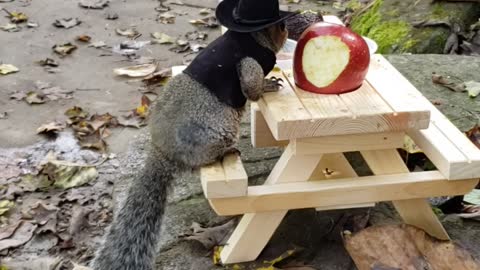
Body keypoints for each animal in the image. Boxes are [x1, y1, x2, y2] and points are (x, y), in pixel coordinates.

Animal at [89, 0, 292, 268]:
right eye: (281, 26)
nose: (288, 30)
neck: (250, 37)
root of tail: (163, 153)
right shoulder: (250, 61)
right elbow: (251, 89)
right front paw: (268, 86)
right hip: (217, 133)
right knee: (201, 160)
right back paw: (225, 152)